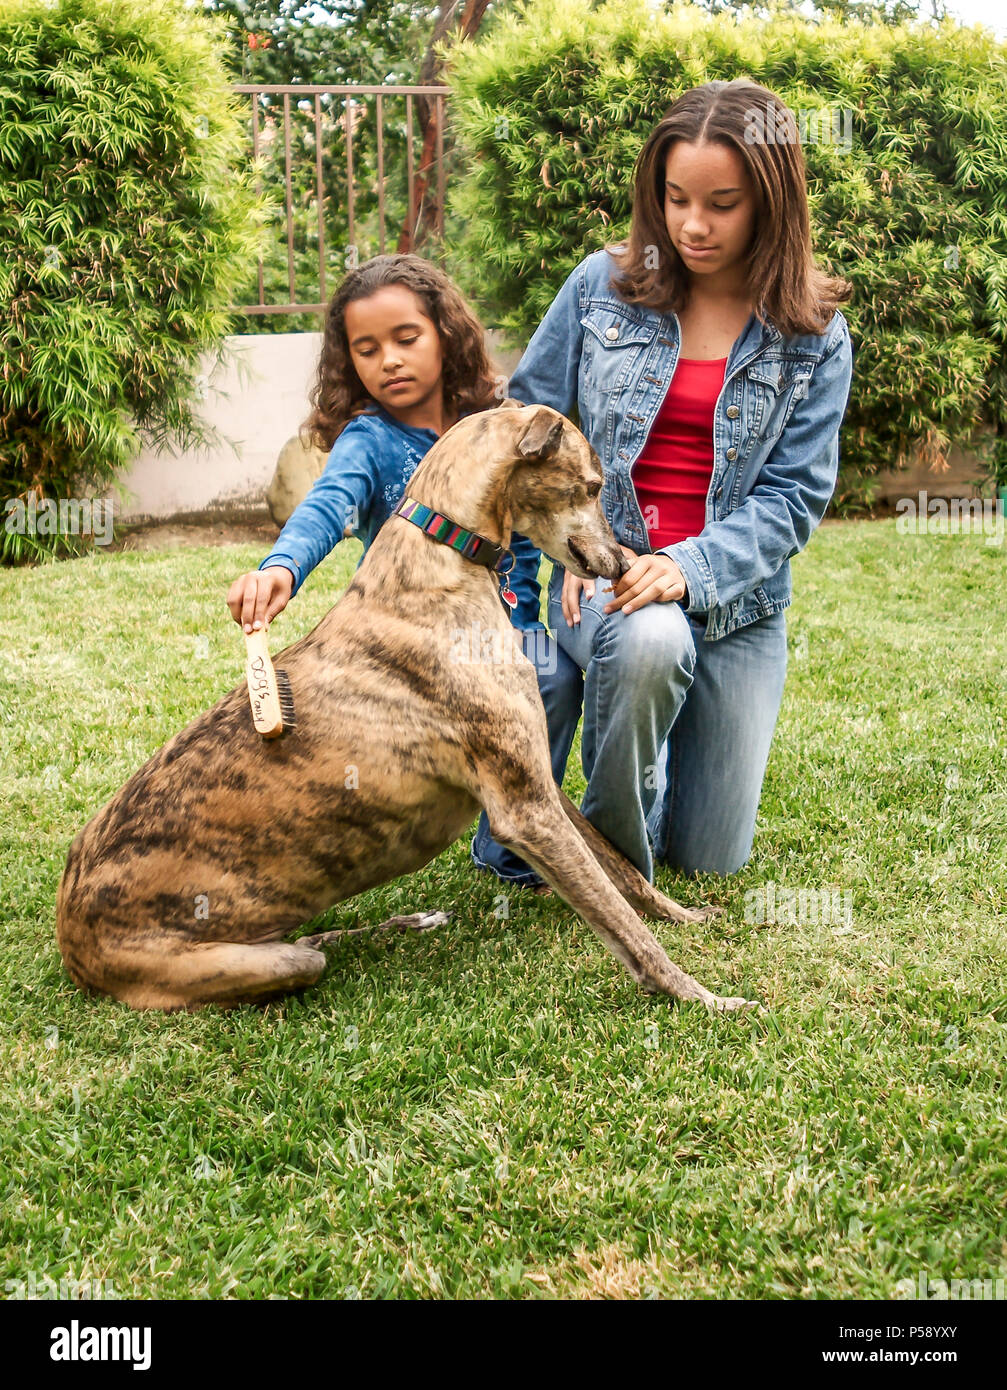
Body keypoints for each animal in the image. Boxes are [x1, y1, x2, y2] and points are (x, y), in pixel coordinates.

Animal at [53, 403, 745, 1011]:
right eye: (593, 485)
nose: (626, 563)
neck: (439, 565)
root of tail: (68, 938)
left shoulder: (534, 781)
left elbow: (623, 871)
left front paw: (685, 913)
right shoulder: (523, 809)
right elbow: (625, 925)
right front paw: (702, 997)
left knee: (317, 939)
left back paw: (414, 919)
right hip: (244, 962)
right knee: (306, 954)